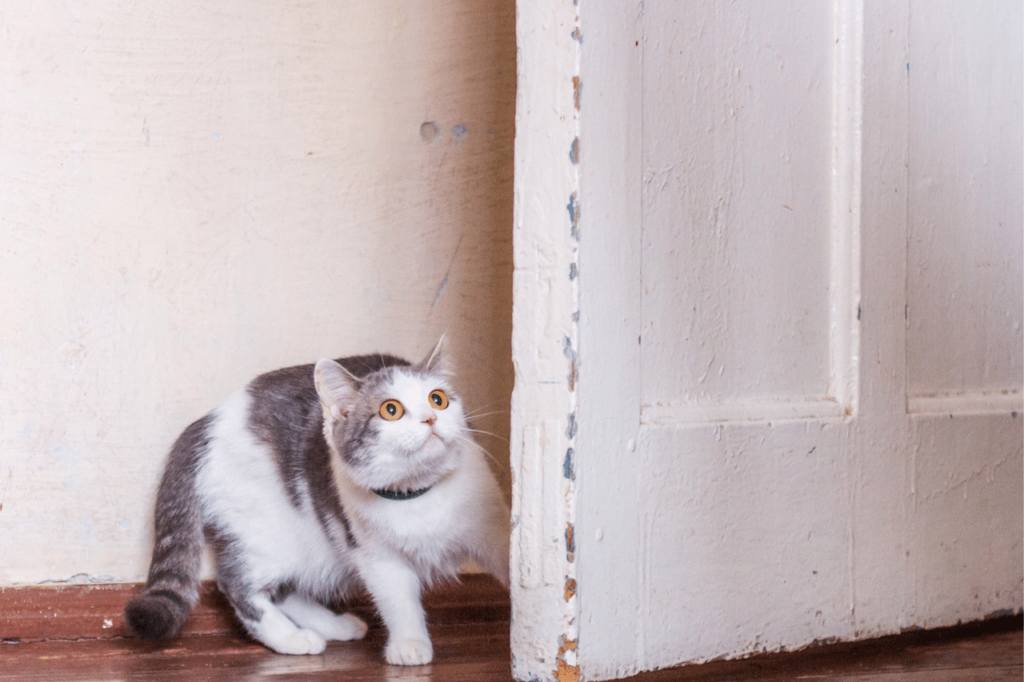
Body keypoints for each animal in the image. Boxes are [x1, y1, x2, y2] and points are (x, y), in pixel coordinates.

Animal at [123, 339, 507, 663]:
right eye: (391, 410)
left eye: (438, 399)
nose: (431, 418)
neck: (417, 495)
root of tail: (204, 423)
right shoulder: (376, 555)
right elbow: (398, 600)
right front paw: (409, 644)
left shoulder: (493, 527)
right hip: (266, 532)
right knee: (237, 585)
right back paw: (292, 638)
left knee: (284, 589)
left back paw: (335, 625)